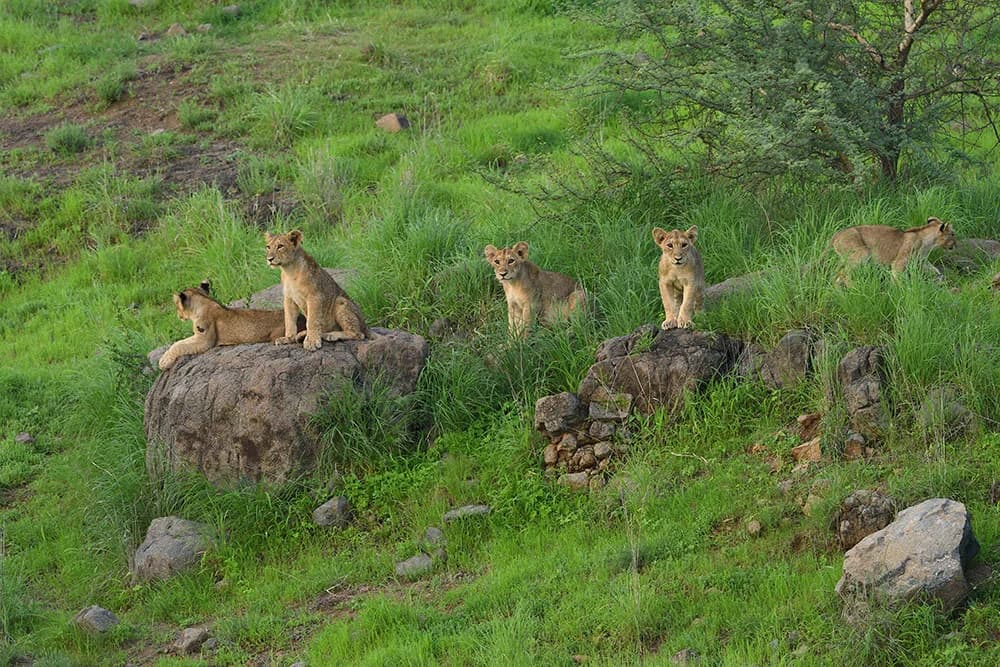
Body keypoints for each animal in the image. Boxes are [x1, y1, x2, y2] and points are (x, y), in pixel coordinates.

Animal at [158, 280, 303, 371]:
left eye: (177, 306)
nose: (178, 315)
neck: (205, 301)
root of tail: (303, 318)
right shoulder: (198, 336)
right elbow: (177, 343)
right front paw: (164, 358)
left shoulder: (205, 340)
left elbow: (180, 346)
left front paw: (164, 363)